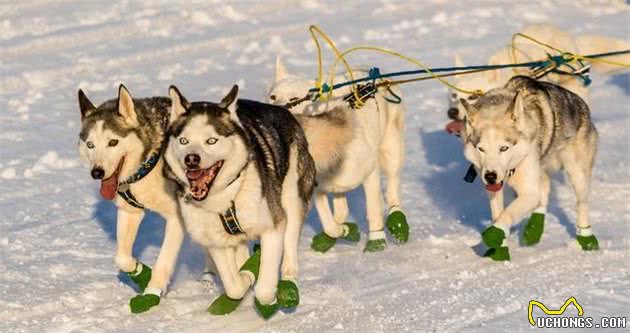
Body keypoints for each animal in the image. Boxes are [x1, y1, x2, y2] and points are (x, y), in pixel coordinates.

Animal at [76, 84, 185, 312]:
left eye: (113, 142)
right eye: (90, 145)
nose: (97, 172)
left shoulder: (177, 218)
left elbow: (164, 261)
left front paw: (152, 291)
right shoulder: (129, 212)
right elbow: (121, 258)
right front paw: (140, 270)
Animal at [165, 84, 318, 318]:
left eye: (211, 140)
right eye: (184, 141)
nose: (191, 159)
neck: (226, 198)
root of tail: (283, 110)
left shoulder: (273, 227)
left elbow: (264, 289)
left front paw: (263, 290)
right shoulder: (216, 241)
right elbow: (234, 286)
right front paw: (246, 277)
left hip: (292, 198)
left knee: (290, 246)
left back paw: (288, 280)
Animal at [270, 56, 412, 252]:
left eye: (295, 99)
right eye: (272, 96)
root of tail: (376, 75)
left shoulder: (370, 173)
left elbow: (374, 209)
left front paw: (376, 242)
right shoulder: (319, 187)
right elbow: (328, 222)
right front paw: (343, 230)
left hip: (392, 151)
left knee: (392, 191)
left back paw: (396, 219)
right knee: (341, 208)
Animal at [464, 75, 604, 260]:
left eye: (504, 148)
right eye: (481, 149)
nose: (490, 176)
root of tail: (579, 101)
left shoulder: (528, 192)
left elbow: (507, 213)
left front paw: (494, 235)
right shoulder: (494, 190)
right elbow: (498, 214)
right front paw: (500, 250)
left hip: (577, 174)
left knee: (581, 204)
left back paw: (586, 238)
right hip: (540, 170)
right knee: (543, 191)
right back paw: (533, 230)